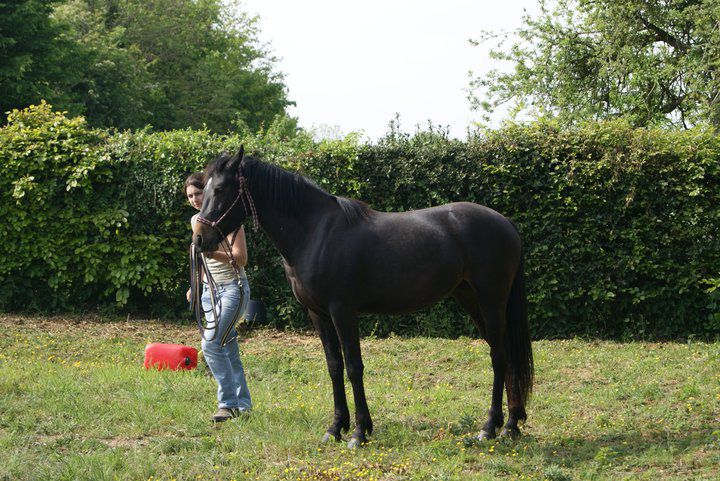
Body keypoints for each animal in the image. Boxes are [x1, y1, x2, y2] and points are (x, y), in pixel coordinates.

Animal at [192, 147, 534, 448]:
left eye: (220, 189)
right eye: (203, 190)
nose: (200, 239)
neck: (315, 232)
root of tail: (506, 222)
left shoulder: (343, 311)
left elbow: (354, 367)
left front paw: (358, 432)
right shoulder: (319, 314)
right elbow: (334, 366)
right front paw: (335, 428)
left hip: (491, 301)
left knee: (499, 356)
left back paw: (490, 427)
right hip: (471, 300)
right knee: (505, 353)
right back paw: (511, 424)